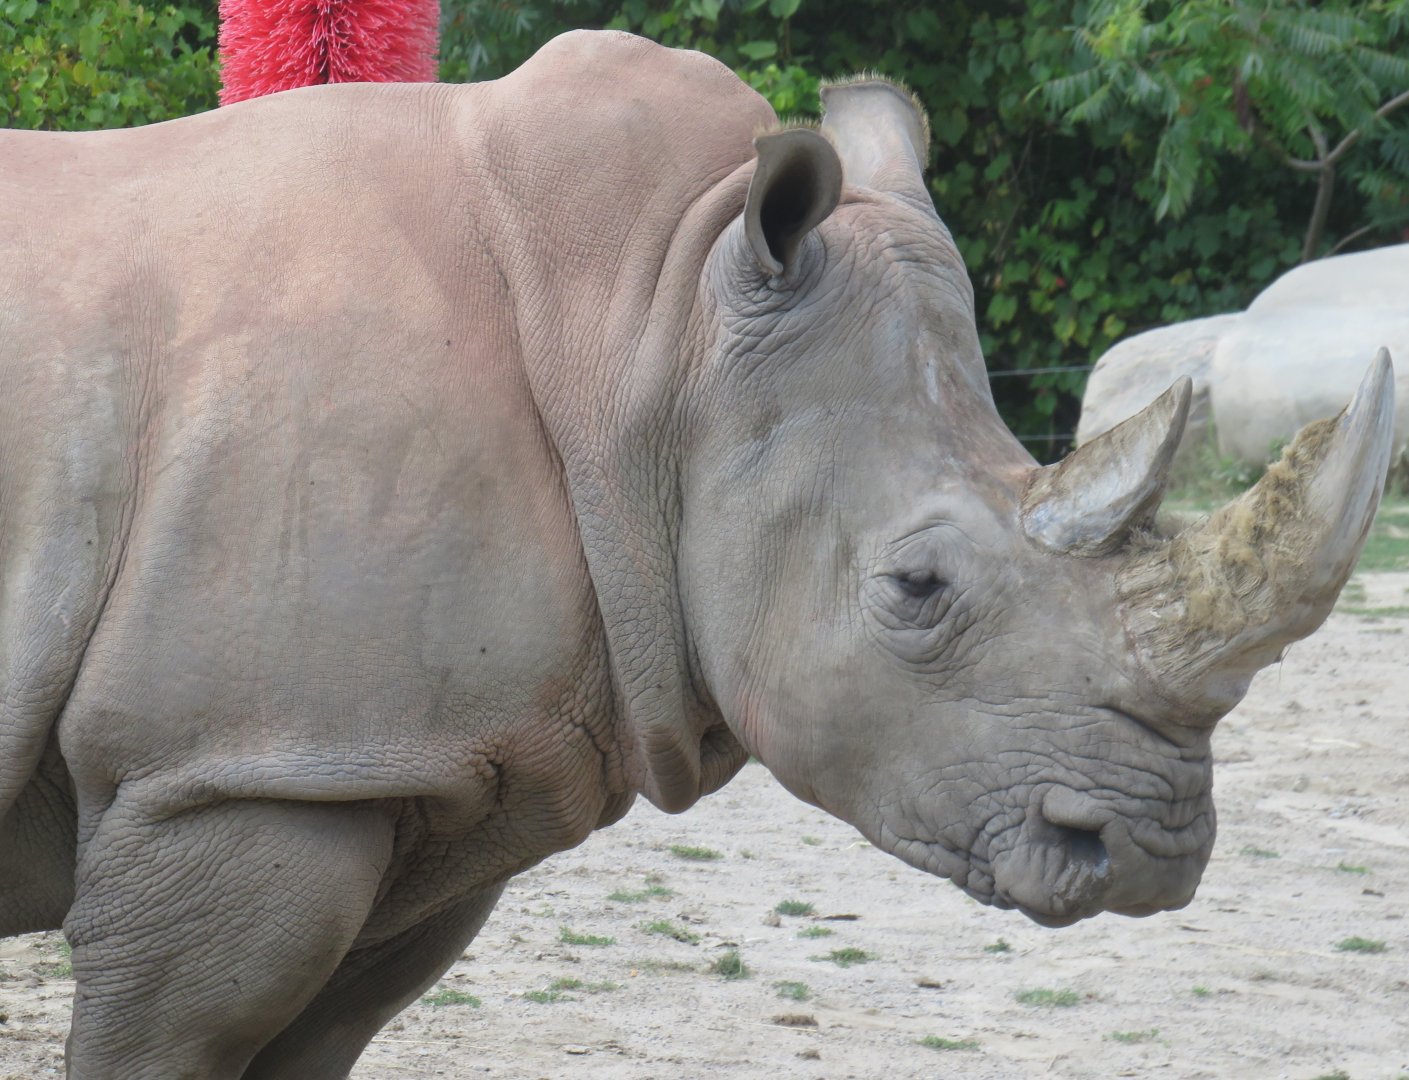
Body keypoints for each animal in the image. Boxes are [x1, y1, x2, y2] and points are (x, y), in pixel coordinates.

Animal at [0, 28, 1394, 1079]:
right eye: (917, 589)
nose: (1149, 854)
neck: (656, 324)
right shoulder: (236, 768)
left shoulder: (407, 763)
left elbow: (317, 1039)